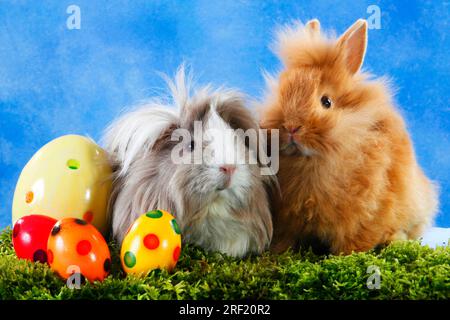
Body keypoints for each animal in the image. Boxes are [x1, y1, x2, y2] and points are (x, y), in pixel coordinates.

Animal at [258, 19, 438, 255]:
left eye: (326, 101)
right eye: (282, 92)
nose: (291, 127)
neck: (310, 161)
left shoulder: (365, 213)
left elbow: (356, 239)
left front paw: (347, 256)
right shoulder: (287, 219)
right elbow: (284, 239)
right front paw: (276, 254)